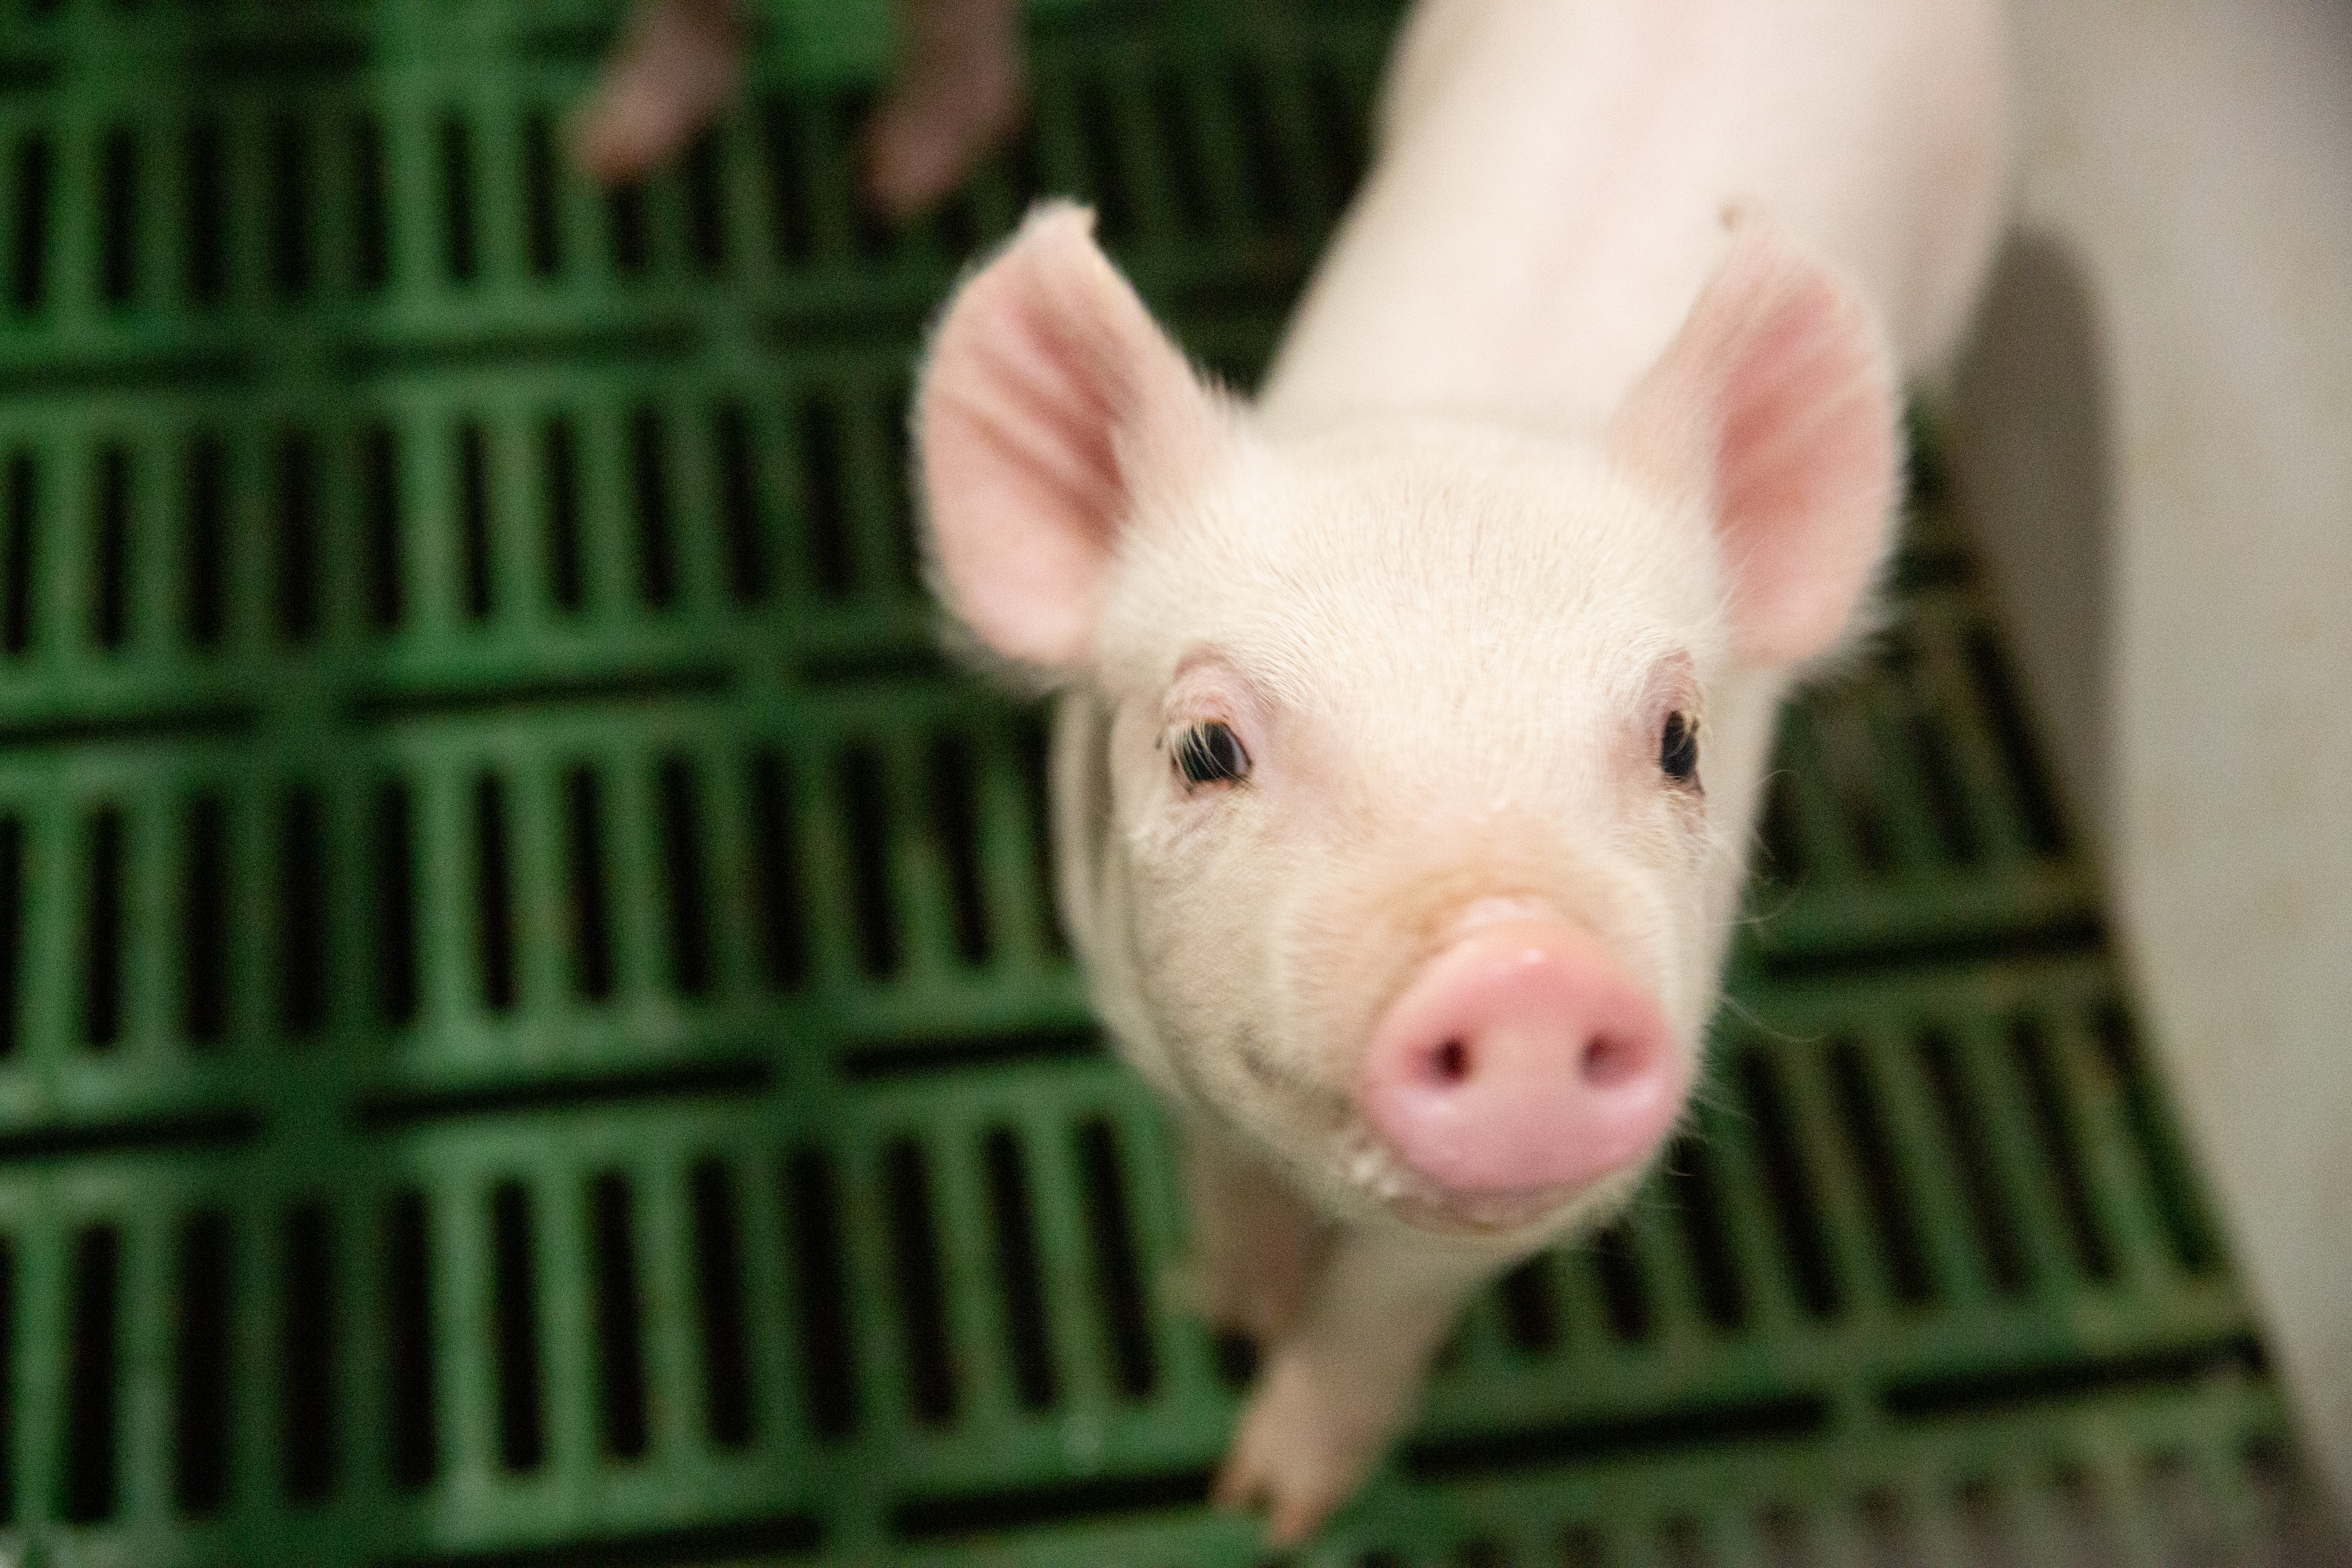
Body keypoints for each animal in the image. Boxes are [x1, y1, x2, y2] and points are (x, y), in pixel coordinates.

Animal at [912, 0, 2009, 1544]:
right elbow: (1222, 1167)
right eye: (1204, 748)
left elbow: (1390, 1301)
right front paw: (1230, 1319)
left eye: (1681, 742)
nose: (1524, 964)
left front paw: (1275, 1505)